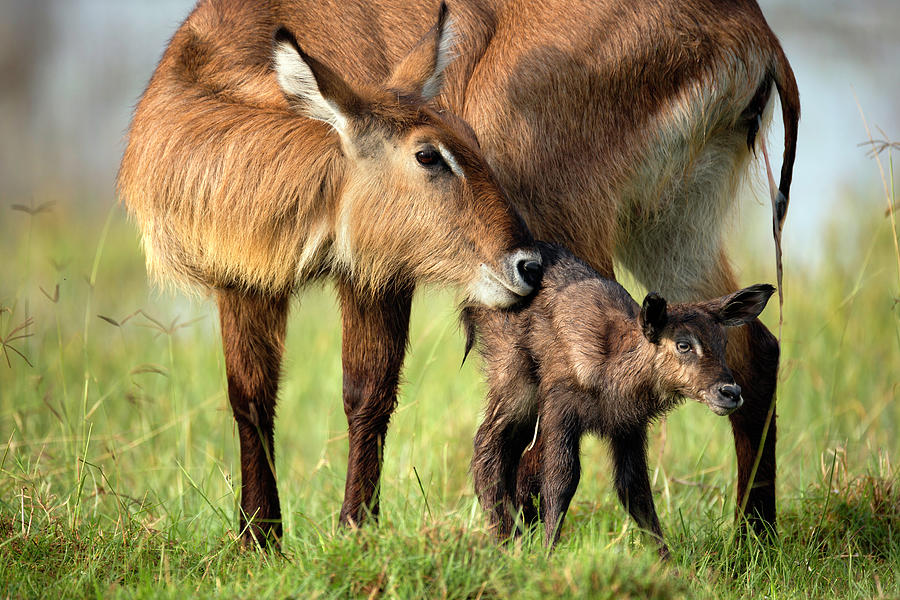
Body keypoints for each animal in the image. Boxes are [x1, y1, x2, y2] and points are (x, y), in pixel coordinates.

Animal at [464, 243, 772, 552]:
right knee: (487, 446)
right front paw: (548, 552)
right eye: (683, 344)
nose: (730, 392)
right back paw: (503, 541)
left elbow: (636, 492)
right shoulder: (560, 410)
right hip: (514, 378)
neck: (611, 371)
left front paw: (666, 560)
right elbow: (561, 480)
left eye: (723, 342)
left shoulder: (629, 427)